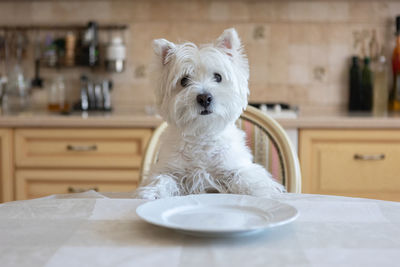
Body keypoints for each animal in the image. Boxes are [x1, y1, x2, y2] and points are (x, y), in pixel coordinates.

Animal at [136, 28, 286, 200]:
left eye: (218, 77)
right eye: (184, 80)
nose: (204, 98)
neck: (203, 134)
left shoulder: (235, 165)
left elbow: (246, 175)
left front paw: (261, 190)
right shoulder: (169, 169)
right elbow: (162, 178)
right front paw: (151, 192)